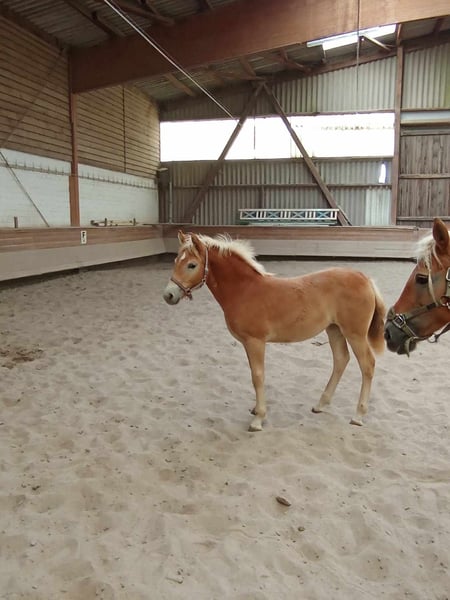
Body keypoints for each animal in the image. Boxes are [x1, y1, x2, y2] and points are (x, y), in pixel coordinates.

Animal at [163, 231, 386, 431]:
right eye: (175, 261)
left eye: (192, 265)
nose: (168, 295)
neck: (244, 290)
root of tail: (365, 278)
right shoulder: (247, 343)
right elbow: (253, 374)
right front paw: (255, 410)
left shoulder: (255, 341)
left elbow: (258, 376)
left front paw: (258, 419)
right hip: (334, 330)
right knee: (341, 360)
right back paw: (320, 405)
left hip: (355, 333)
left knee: (367, 365)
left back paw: (358, 415)